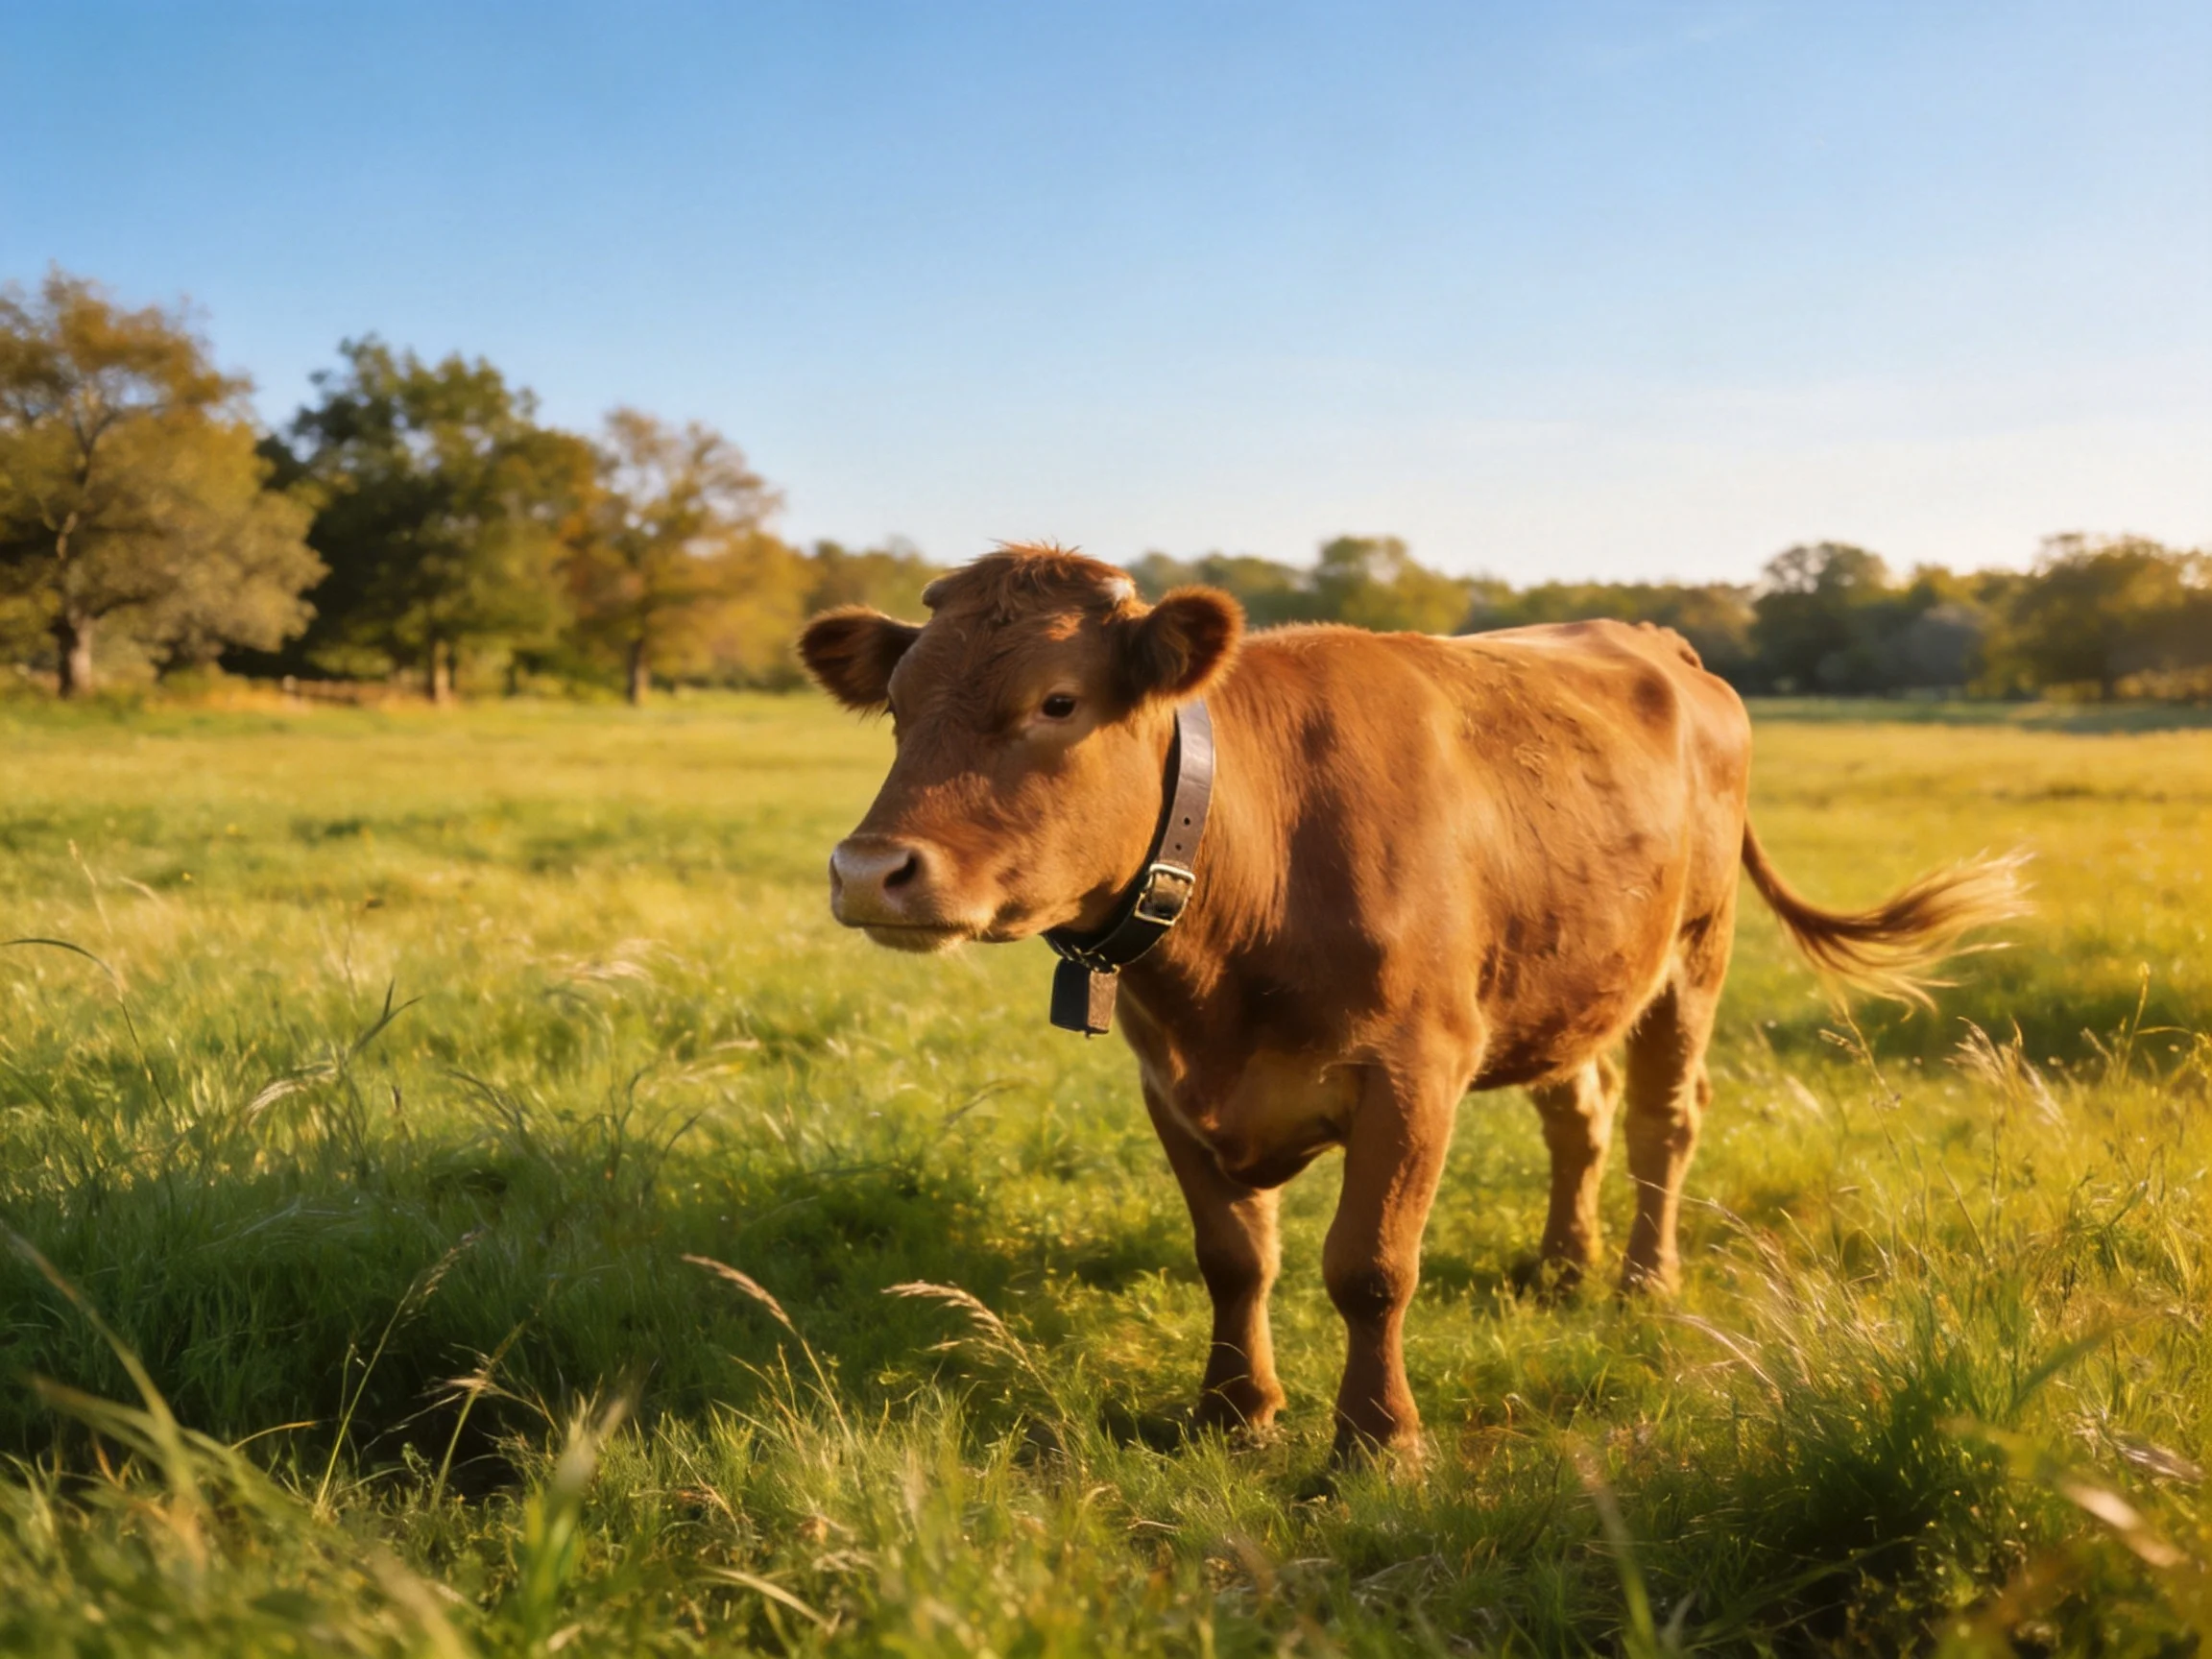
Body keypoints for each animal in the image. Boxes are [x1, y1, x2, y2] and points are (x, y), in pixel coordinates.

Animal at [797, 546, 2022, 1460]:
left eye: (1057, 701)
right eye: (898, 707)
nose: (869, 869)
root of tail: (1660, 640)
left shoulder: (1413, 1073)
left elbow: (1371, 1268)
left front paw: (1377, 1441)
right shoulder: (1168, 1083)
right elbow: (1233, 1257)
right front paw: (1233, 1413)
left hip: (1694, 954)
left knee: (1663, 1120)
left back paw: (1642, 1280)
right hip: (1559, 973)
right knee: (1578, 1115)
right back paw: (1562, 1266)